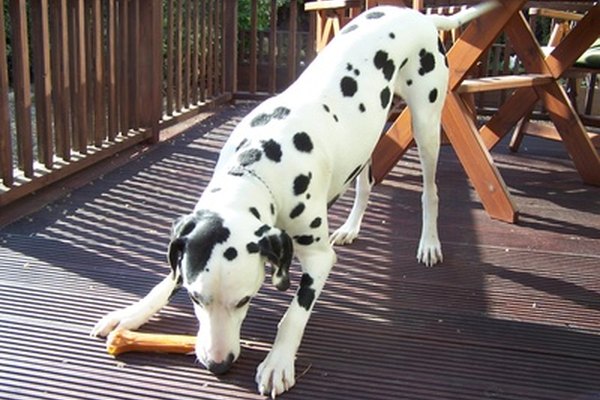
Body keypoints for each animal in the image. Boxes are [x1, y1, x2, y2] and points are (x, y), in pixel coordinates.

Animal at [91, 2, 496, 396]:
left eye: (245, 300)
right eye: (195, 298)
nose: (218, 365)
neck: (258, 165)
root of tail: (416, 15)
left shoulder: (318, 258)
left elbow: (294, 315)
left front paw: (278, 363)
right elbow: (166, 280)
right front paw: (131, 313)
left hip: (426, 125)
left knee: (430, 191)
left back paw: (429, 242)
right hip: (364, 139)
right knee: (366, 181)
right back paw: (351, 227)